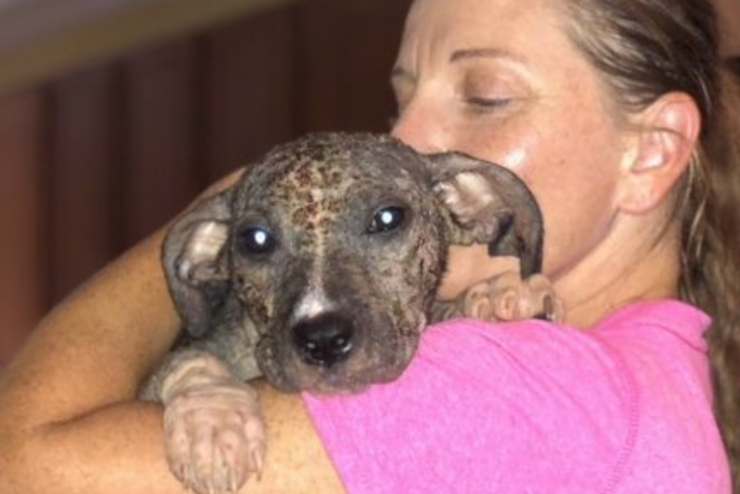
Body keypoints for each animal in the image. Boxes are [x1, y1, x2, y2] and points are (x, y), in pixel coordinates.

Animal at [141, 132, 560, 494]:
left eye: (389, 218)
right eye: (255, 240)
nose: (323, 340)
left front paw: (498, 297)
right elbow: (189, 359)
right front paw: (211, 423)